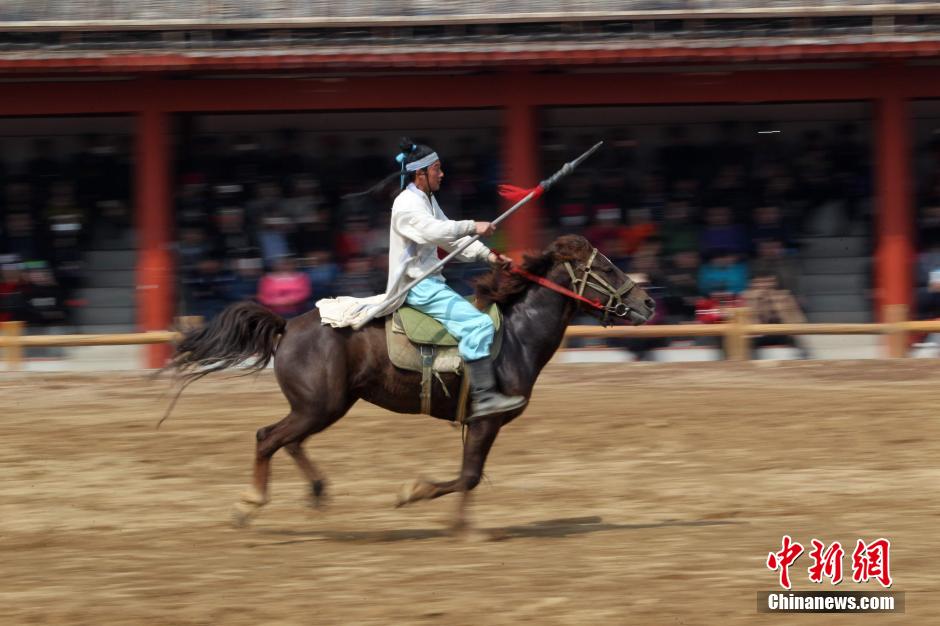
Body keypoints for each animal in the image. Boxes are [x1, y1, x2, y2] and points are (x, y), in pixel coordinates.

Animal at [165, 233, 652, 528]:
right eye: (606, 268)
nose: (648, 303)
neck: (515, 334)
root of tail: (288, 325)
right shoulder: (486, 420)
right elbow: (469, 476)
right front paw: (418, 496)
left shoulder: (479, 424)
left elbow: (469, 476)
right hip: (319, 405)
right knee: (268, 437)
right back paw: (250, 503)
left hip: (324, 406)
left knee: (288, 440)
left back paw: (317, 492)